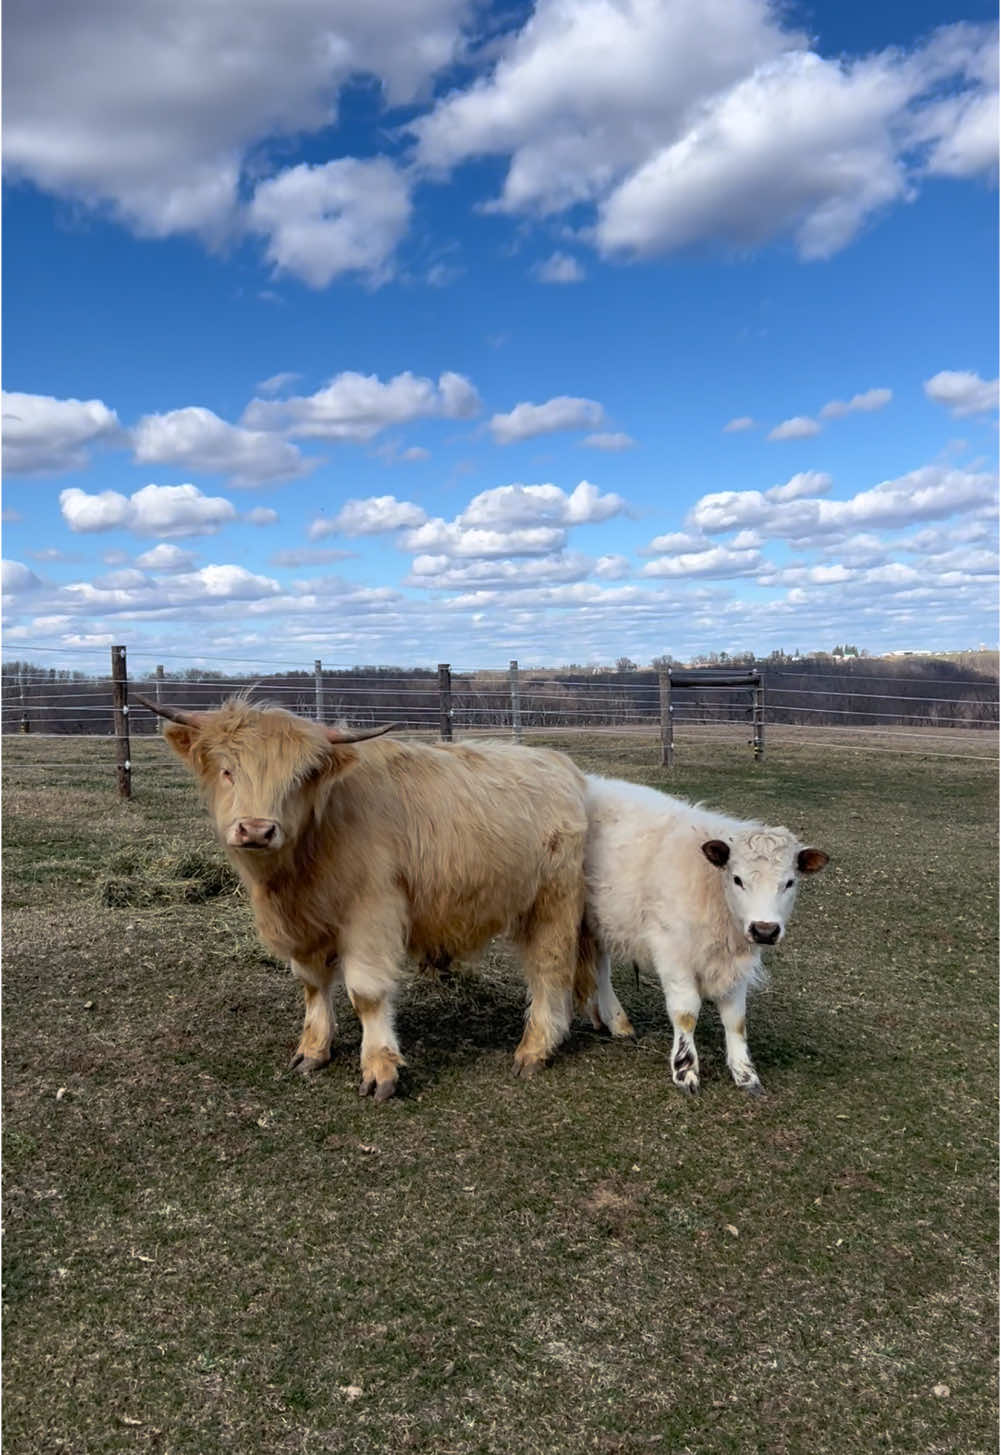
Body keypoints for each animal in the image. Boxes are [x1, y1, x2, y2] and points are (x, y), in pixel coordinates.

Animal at [581, 774, 826, 1094]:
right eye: (738, 879)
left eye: (789, 882)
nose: (764, 929)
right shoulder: (672, 951)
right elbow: (685, 1011)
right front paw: (685, 1069)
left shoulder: (735, 962)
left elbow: (736, 1018)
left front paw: (745, 1073)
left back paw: (609, 1019)